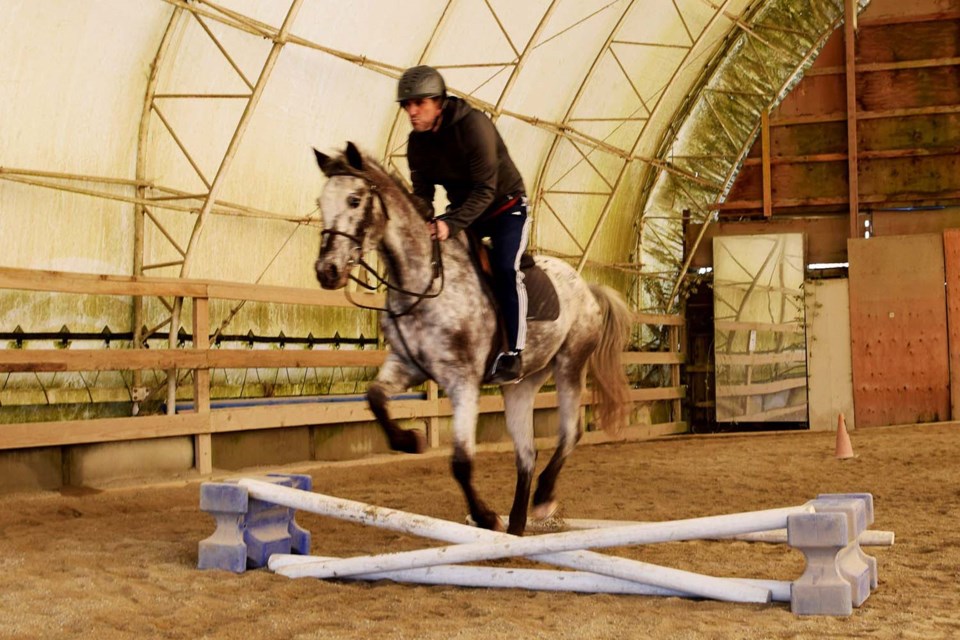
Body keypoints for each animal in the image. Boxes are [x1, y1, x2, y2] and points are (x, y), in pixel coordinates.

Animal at [312, 141, 632, 536]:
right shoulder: (407, 365)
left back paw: (542, 499)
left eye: (355, 199)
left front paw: (485, 517)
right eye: (321, 202)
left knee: (569, 434)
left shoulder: (462, 381)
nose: (327, 271)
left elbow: (461, 462)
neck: (425, 280)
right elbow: (374, 398)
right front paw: (410, 440)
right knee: (526, 453)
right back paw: (516, 527)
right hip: (521, 384)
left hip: (570, 365)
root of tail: (586, 287)